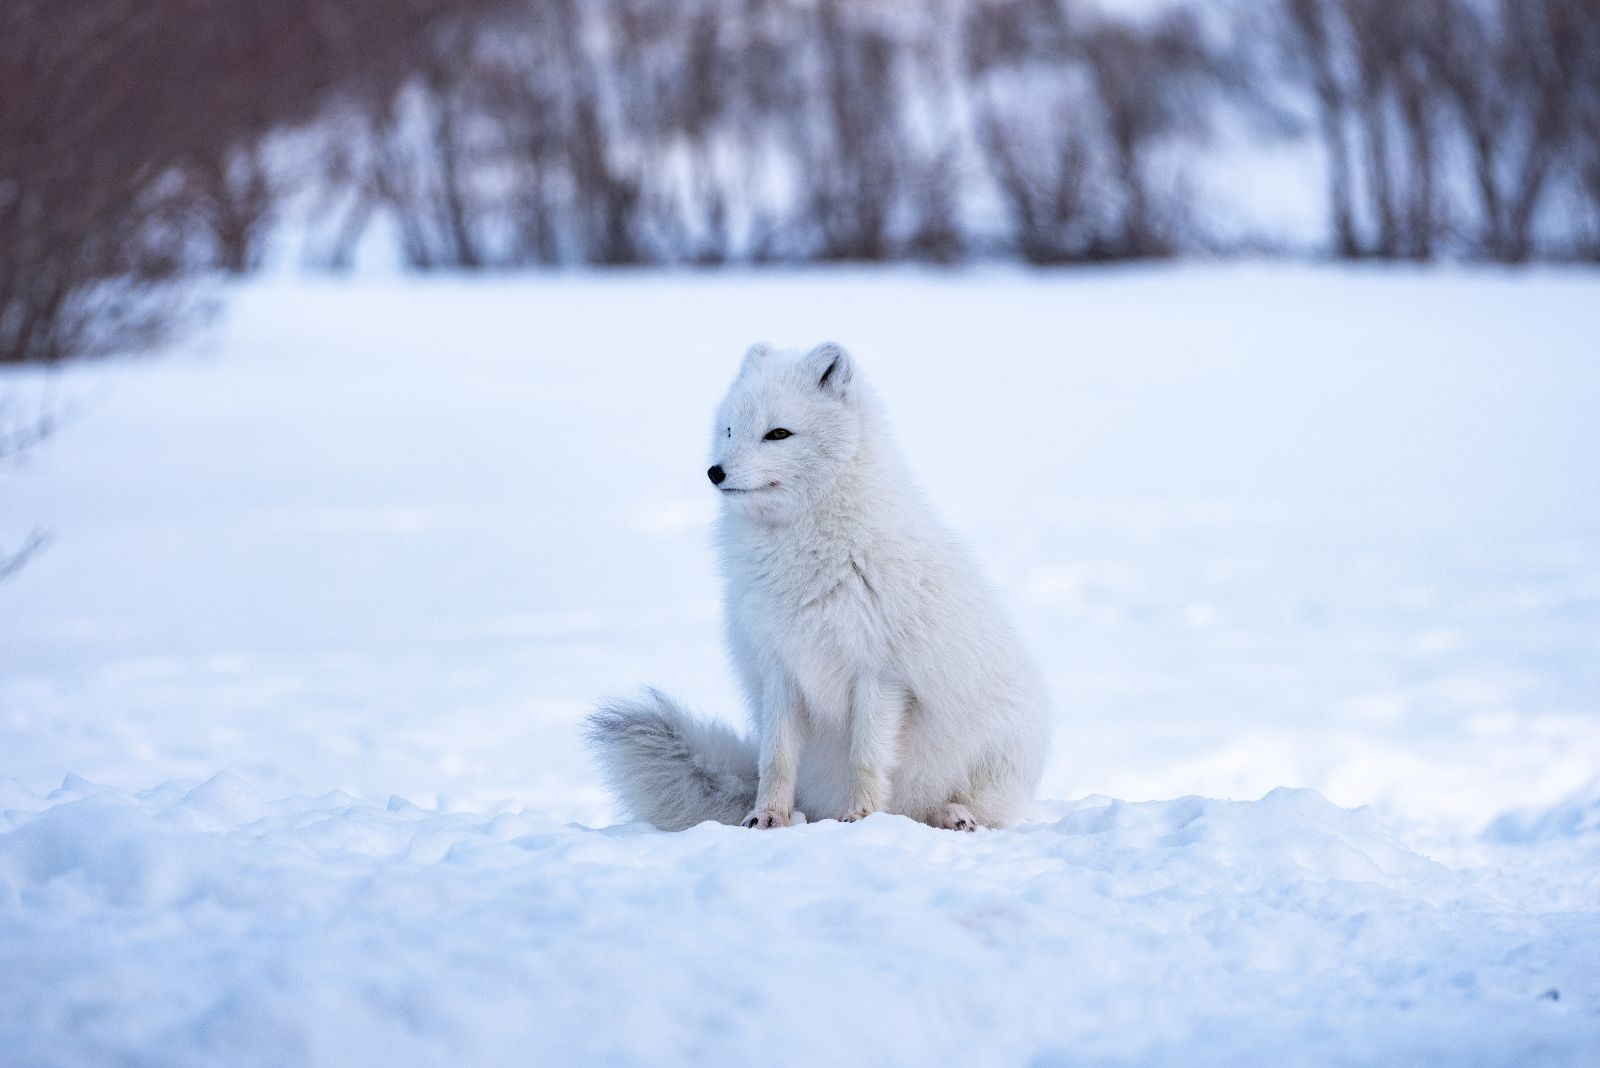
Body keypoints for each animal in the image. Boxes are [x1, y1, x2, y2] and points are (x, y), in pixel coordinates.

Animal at [588, 346, 1049, 831]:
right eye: (730, 429)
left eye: (778, 433)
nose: (715, 472)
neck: (805, 557)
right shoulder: (781, 668)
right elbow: (775, 758)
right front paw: (767, 817)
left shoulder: (881, 675)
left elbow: (865, 757)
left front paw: (862, 818)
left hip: (995, 749)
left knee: (975, 808)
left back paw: (953, 815)